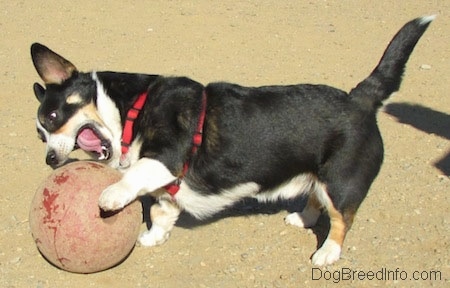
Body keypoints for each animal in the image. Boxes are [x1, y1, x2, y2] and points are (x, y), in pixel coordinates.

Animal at [29, 16, 434, 266]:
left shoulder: (167, 156)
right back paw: (302, 217)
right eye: (40, 134)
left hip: (340, 182)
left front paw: (113, 194)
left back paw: (327, 254)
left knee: (341, 219)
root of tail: (359, 98)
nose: (49, 159)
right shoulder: (167, 188)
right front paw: (153, 237)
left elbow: (136, 175)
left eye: (51, 119)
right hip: (319, 177)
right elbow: (161, 213)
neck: (131, 106)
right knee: (316, 198)